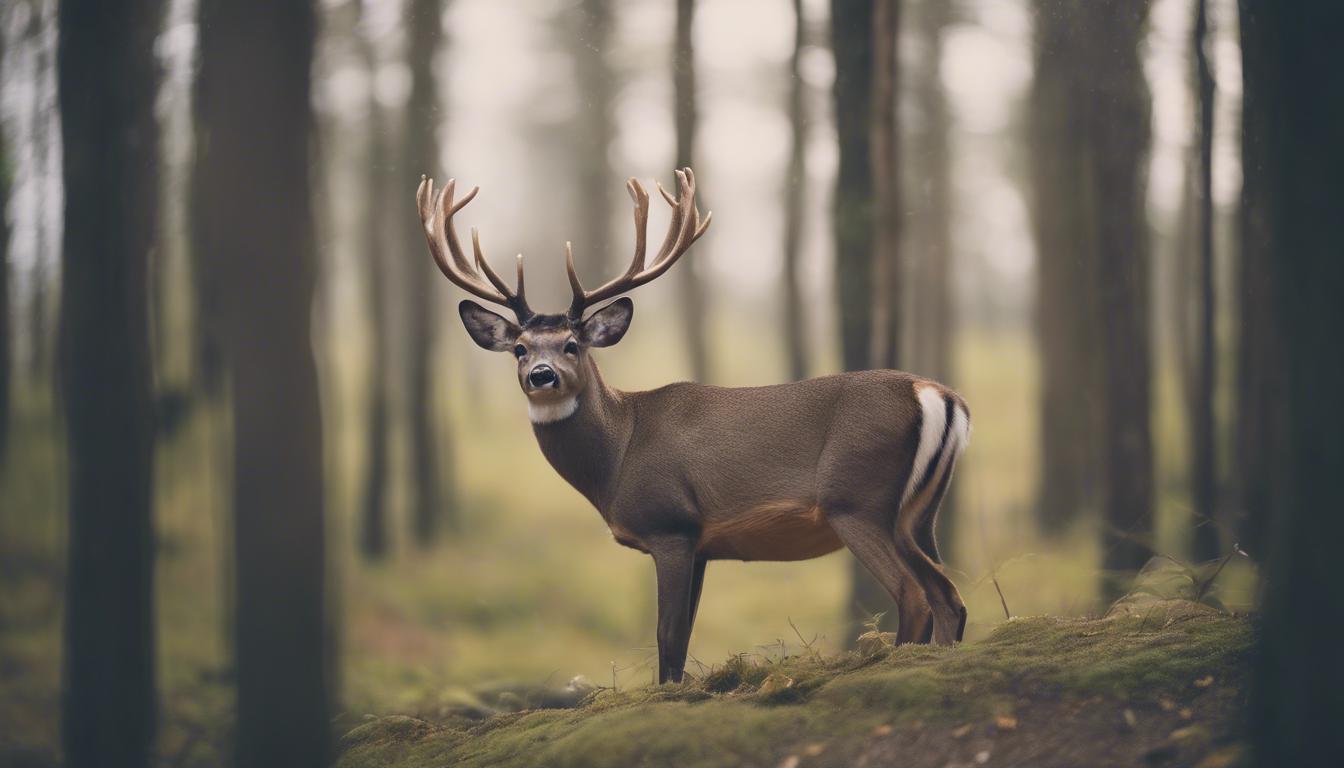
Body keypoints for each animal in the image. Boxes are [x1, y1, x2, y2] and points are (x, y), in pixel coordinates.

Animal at [413, 168, 973, 685]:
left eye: (572, 345)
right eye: (520, 348)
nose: (542, 375)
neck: (617, 458)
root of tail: (938, 395)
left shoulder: (671, 524)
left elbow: (667, 634)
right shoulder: (703, 544)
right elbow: (683, 635)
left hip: (856, 497)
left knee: (915, 593)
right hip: (917, 514)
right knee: (949, 595)